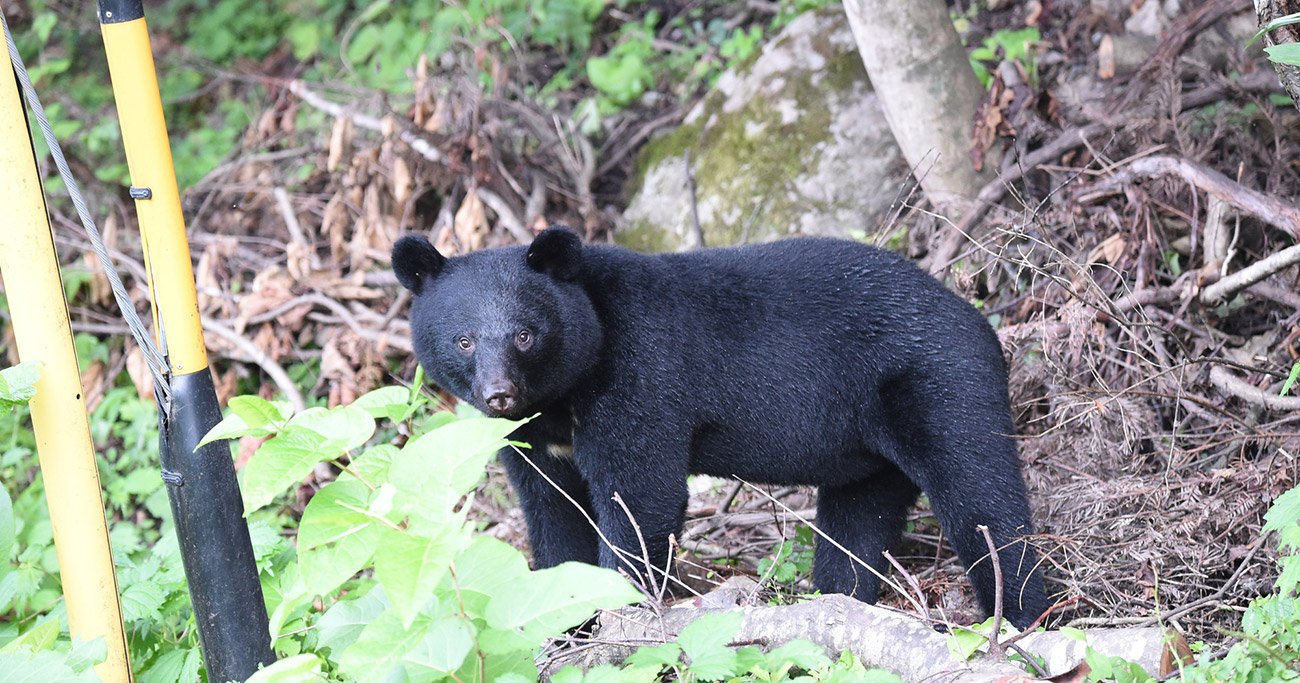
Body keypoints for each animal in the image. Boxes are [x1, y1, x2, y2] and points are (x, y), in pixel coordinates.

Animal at [392, 226, 1049, 627]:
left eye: (526, 334)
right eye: (465, 339)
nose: (499, 394)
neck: (562, 395)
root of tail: (979, 320)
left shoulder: (640, 375)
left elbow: (640, 495)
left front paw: (619, 611)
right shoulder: (532, 439)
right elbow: (552, 511)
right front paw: (560, 618)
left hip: (939, 381)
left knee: (981, 496)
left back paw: (1020, 616)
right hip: (869, 446)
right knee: (857, 525)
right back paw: (838, 600)